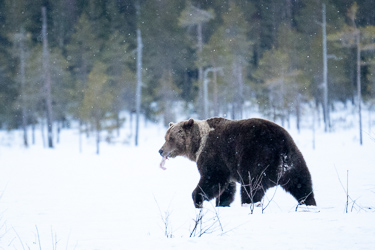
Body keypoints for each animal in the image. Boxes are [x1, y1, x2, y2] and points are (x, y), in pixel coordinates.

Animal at [159, 118, 318, 208]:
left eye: (171, 138)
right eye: (165, 136)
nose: (160, 150)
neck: (198, 145)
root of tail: (280, 146)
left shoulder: (214, 156)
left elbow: (211, 179)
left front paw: (198, 199)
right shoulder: (227, 166)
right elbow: (227, 187)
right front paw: (222, 203)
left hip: (255, 158)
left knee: (251, 187)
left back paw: (250, 204)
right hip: (294, 159)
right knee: (301, 183)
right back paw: (309, 203)